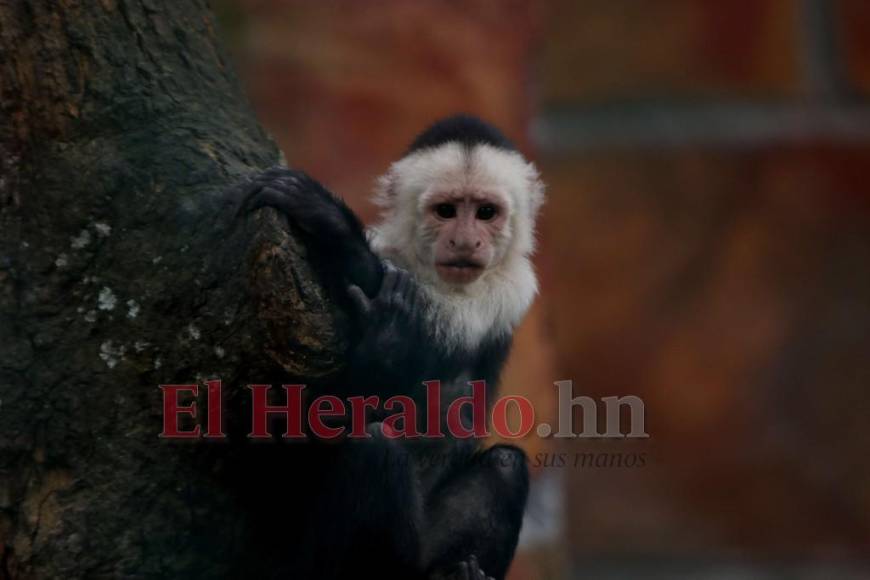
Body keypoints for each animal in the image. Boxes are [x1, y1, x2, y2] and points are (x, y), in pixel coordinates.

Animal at [244, 114, 544, 580]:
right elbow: (284, 437)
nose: (465, 241)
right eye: (446, 211)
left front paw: (337, 232)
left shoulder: (510, 289)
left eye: (486, 212)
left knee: (495, 464)